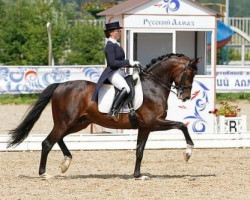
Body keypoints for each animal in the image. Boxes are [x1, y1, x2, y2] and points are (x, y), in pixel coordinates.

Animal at [7, 52, 201, 180]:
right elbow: (182, 125)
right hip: (66, 122)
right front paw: (188, 153)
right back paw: (44, 174)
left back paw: (65, 163)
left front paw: (138, 175)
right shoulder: (154, 122)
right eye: (189, 74)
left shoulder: (145, 127)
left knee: (58, 138)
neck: (153, 87)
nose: (185, 97)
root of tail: (60, 85)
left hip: (79, 123)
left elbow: (139, 151)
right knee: (47, 142)